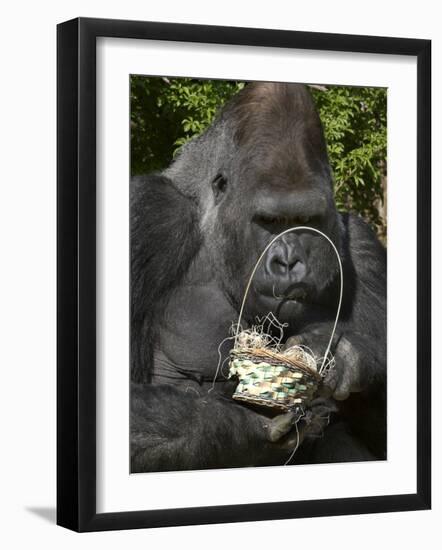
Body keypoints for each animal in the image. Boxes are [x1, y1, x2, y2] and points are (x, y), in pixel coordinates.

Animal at [129, 82, 386, 474]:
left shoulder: (363, 248)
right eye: (270, 221)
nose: (289, 261)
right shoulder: (147, 214)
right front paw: (256, 426)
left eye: (306, 220)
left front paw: (350, 356)